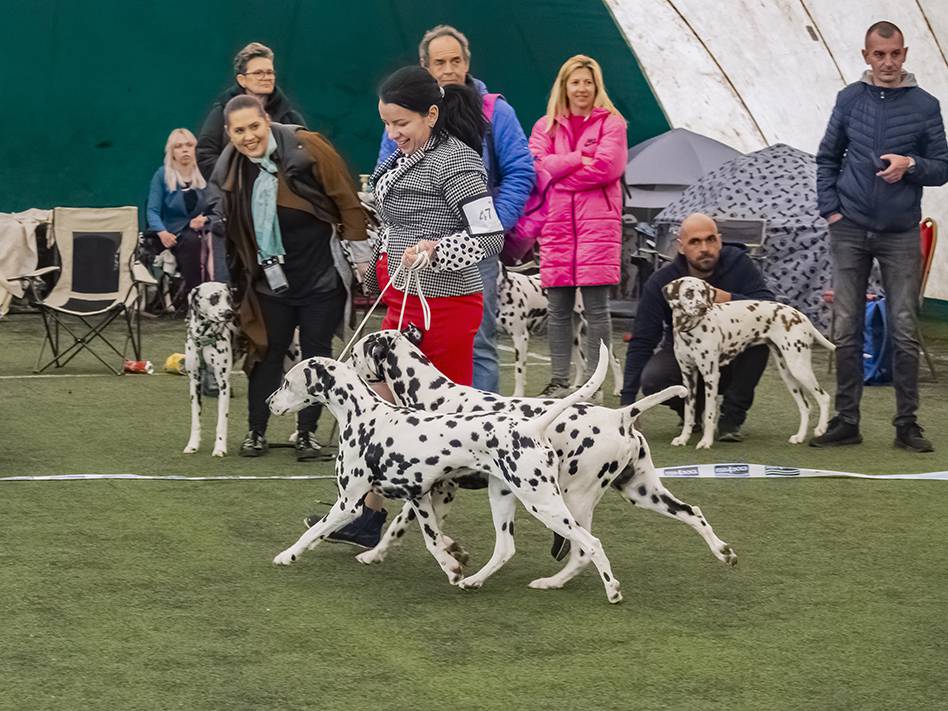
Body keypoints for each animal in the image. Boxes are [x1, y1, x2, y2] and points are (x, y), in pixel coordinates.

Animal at [268, 342, 628, 604]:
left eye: (287, 381)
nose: (270, 401)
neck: (364, 414)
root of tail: (530, 426)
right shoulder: (420, 499)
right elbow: (431, 540)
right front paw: (453, 567)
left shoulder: (349, 503)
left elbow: (312, 534)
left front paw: (287, 556)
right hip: (503, 500)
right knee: (506, 549)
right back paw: (475, 581)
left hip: (547, 504)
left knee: (590, 545)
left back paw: (611, 590)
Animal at [344, 328, 736, 588]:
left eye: (356, 354)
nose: (344, 360)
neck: (434, 396)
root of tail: (620, 416)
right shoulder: (441, 493)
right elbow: (433, 531)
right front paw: (453, 551)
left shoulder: (433, 490)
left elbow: (400, 527)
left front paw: (373, 554)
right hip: (642, 492)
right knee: (692, 513)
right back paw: (723, 552)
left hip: (571, 500)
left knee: (584, 549)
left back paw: (552, 582)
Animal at [492, 268, 624, 400]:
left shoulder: (520, 337)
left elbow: (519, 370)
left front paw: (518, 395)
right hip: (572, 337)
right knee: (581, 363)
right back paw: (577, 389)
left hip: (596, 328)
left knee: (615, 361)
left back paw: (618, 388)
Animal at [664, 276, 832, 450]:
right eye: (689, 293)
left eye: (703, 293)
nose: (703, 307)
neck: (690, 330)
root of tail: (801, 316)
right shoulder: (688, 377)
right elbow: (689, 414)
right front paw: (683, 438)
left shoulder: (711, 376)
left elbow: (710, 415)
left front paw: (706, 441)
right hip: (788, 374)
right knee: (805, 406)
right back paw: (799, 437)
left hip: (799, 368)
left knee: (824, 397)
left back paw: (821, 429)